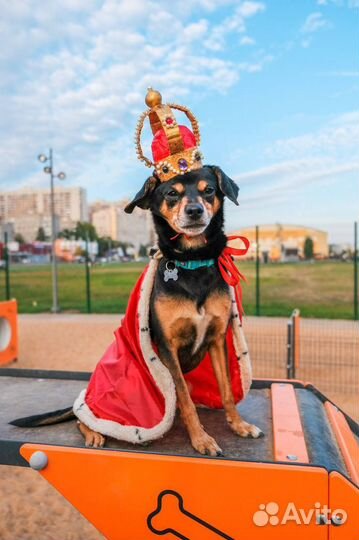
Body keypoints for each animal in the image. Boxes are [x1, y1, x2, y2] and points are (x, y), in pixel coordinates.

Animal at [11, 166, 262, 456]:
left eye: (208, 190)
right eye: (172, 193)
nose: (195, 211)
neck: (192, 263)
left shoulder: (217, 338)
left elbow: (227, 391)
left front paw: (239, 425)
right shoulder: (167, 346)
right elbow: (185, 400)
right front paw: (201, 439)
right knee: (81, 415)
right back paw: (94, 433)